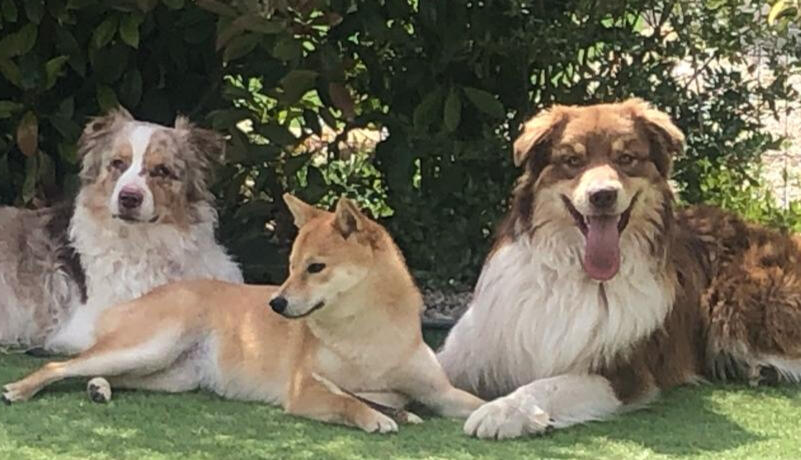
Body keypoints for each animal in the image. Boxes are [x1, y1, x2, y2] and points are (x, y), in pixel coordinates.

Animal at [2, 195, 484, 434]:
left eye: (315, 268)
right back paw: (21, 390)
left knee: (104, 375)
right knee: (59, 365)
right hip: (149, 345)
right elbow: (345, 400)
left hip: (169, 374)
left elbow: (473, 403)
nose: (276, 304)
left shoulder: (442, 393)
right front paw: (376, 417)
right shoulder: (306, 390)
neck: (368, 337)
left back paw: (99, 388)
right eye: (290, 267)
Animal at [437, 98, 801, 439]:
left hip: (740, 308)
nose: (603, 195)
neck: (575, 274)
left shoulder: (621, 374)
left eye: (626, 158)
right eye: (573, 161)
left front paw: (502, 411)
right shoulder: (477, 346)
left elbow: (548, 384)